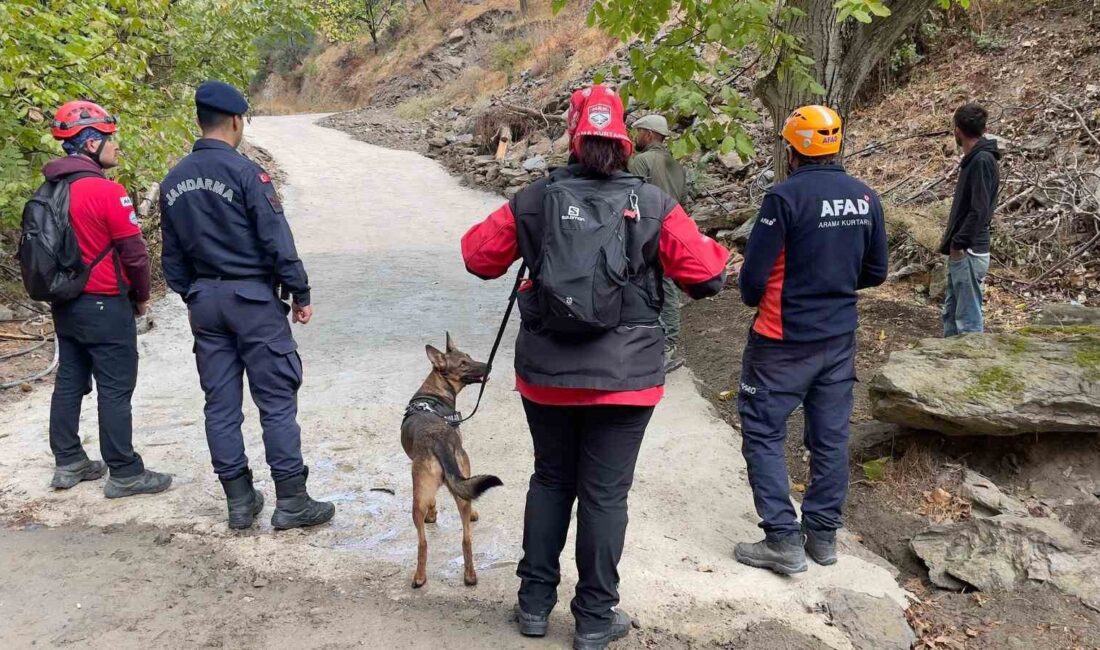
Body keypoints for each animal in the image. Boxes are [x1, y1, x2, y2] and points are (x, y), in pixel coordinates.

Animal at [400, 336, 503, 589]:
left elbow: (433, 501)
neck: (434, 391)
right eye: (463, 363)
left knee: (423, 543)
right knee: (466, 539)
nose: (489, 365)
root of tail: (440, 442)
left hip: (417, 497)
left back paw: (419, 577)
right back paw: (469, 576)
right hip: (456, 488)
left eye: (470, 357)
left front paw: (432, 515)